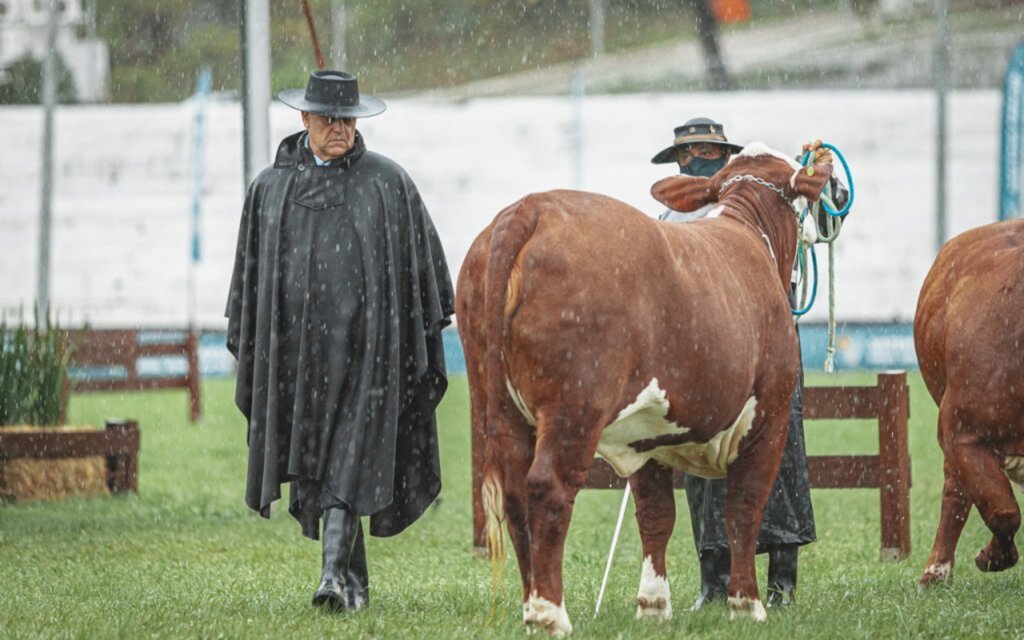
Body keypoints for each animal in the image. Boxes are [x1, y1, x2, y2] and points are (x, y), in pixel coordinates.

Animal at [456, 144, 831, 634]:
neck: (749, 234)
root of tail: (530, 208)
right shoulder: (768, 419)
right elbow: (743, 509)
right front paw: (746, 604)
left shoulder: (647, 434)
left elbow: (656, 515)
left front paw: (653, 604)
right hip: (575, 406)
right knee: (547, 487)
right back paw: (549, 613)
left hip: (498, 405)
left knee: (516, 494)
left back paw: (529, 605)